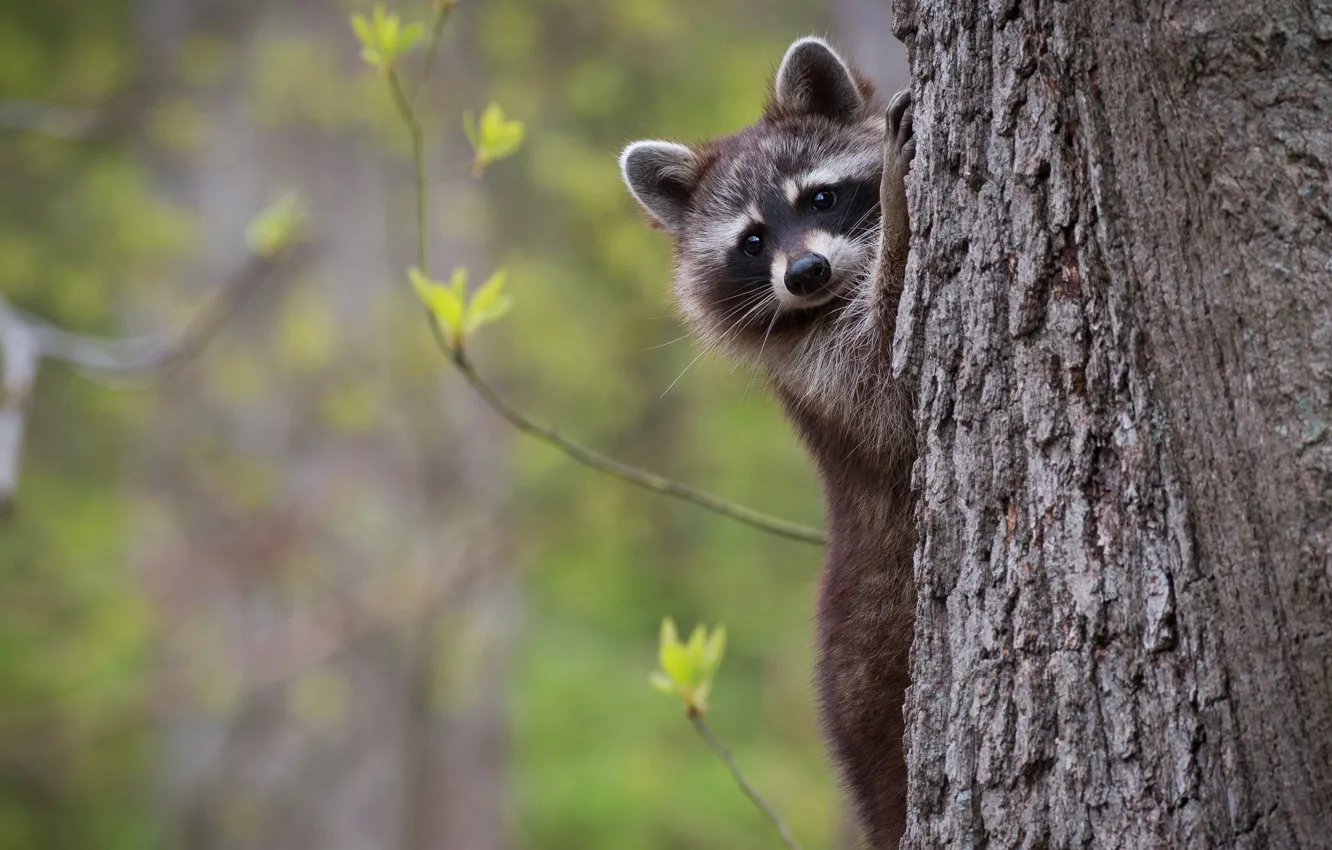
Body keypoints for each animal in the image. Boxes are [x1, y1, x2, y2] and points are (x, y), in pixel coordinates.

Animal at [620, 37, 916, 848]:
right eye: (753, 242)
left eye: (820, 198)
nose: (805, 271)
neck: (827, 300)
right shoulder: (830, 378)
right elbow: (893, 390)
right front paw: (901, 210)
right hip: (873, 682)